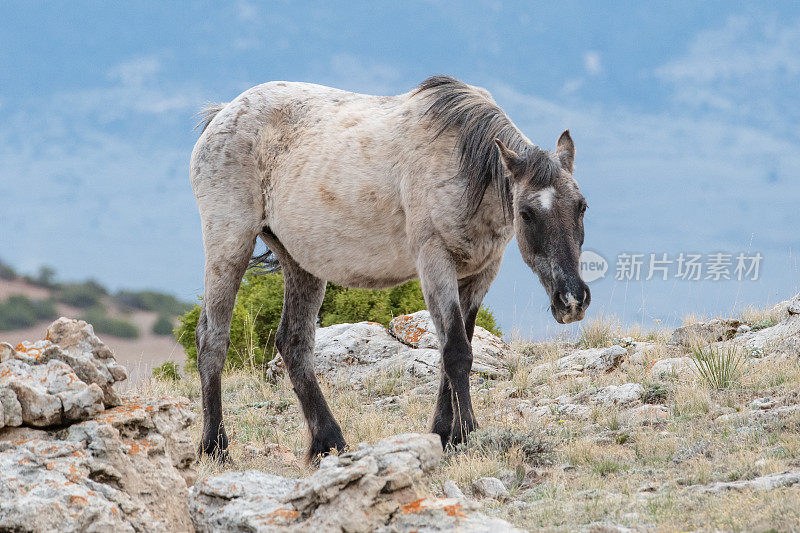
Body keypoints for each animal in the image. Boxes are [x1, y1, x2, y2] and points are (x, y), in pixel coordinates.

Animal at [188, 72, 588, 460]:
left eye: (581, 206)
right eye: (527, 213)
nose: (572, 301)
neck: (463, 165)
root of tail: (222, 114)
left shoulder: (480, 274)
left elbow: (460, 345)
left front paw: (445, 433)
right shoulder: (435, 263)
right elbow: (456, 351)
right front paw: (465, 435)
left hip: (301, 263)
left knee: (294, 343)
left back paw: (328, 443)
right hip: (229, 246)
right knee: (212, 338)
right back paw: (216, 447)